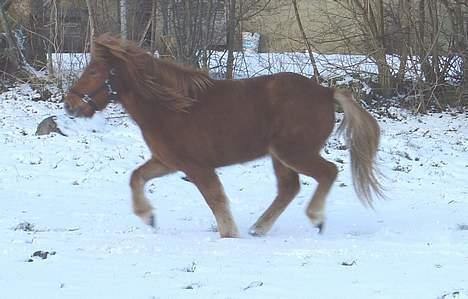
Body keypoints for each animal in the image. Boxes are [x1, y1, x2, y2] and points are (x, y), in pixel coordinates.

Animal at [63, 33, 384, 239]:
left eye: (94, 72)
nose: (69, 105)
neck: (171, 106)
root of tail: (326, 92)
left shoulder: (197, 167)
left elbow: (216, 200)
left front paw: (229, 235)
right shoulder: (168, 162)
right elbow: (136, 177)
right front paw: (148, 216)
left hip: (294, 152)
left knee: (328, 172)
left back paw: (315, 218)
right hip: (280, 157)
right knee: (289, 188)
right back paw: (259, 228)